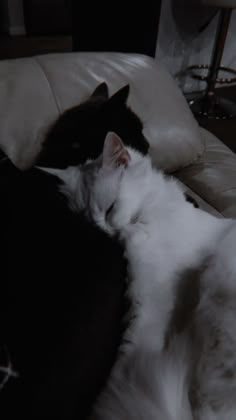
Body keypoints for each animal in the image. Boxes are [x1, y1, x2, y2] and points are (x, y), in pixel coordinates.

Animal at [40, 132, 236, 420]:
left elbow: (131, 349)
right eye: (89, 221)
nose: (104, 232)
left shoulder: (152, 299)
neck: (153, 210)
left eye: (109, 209)